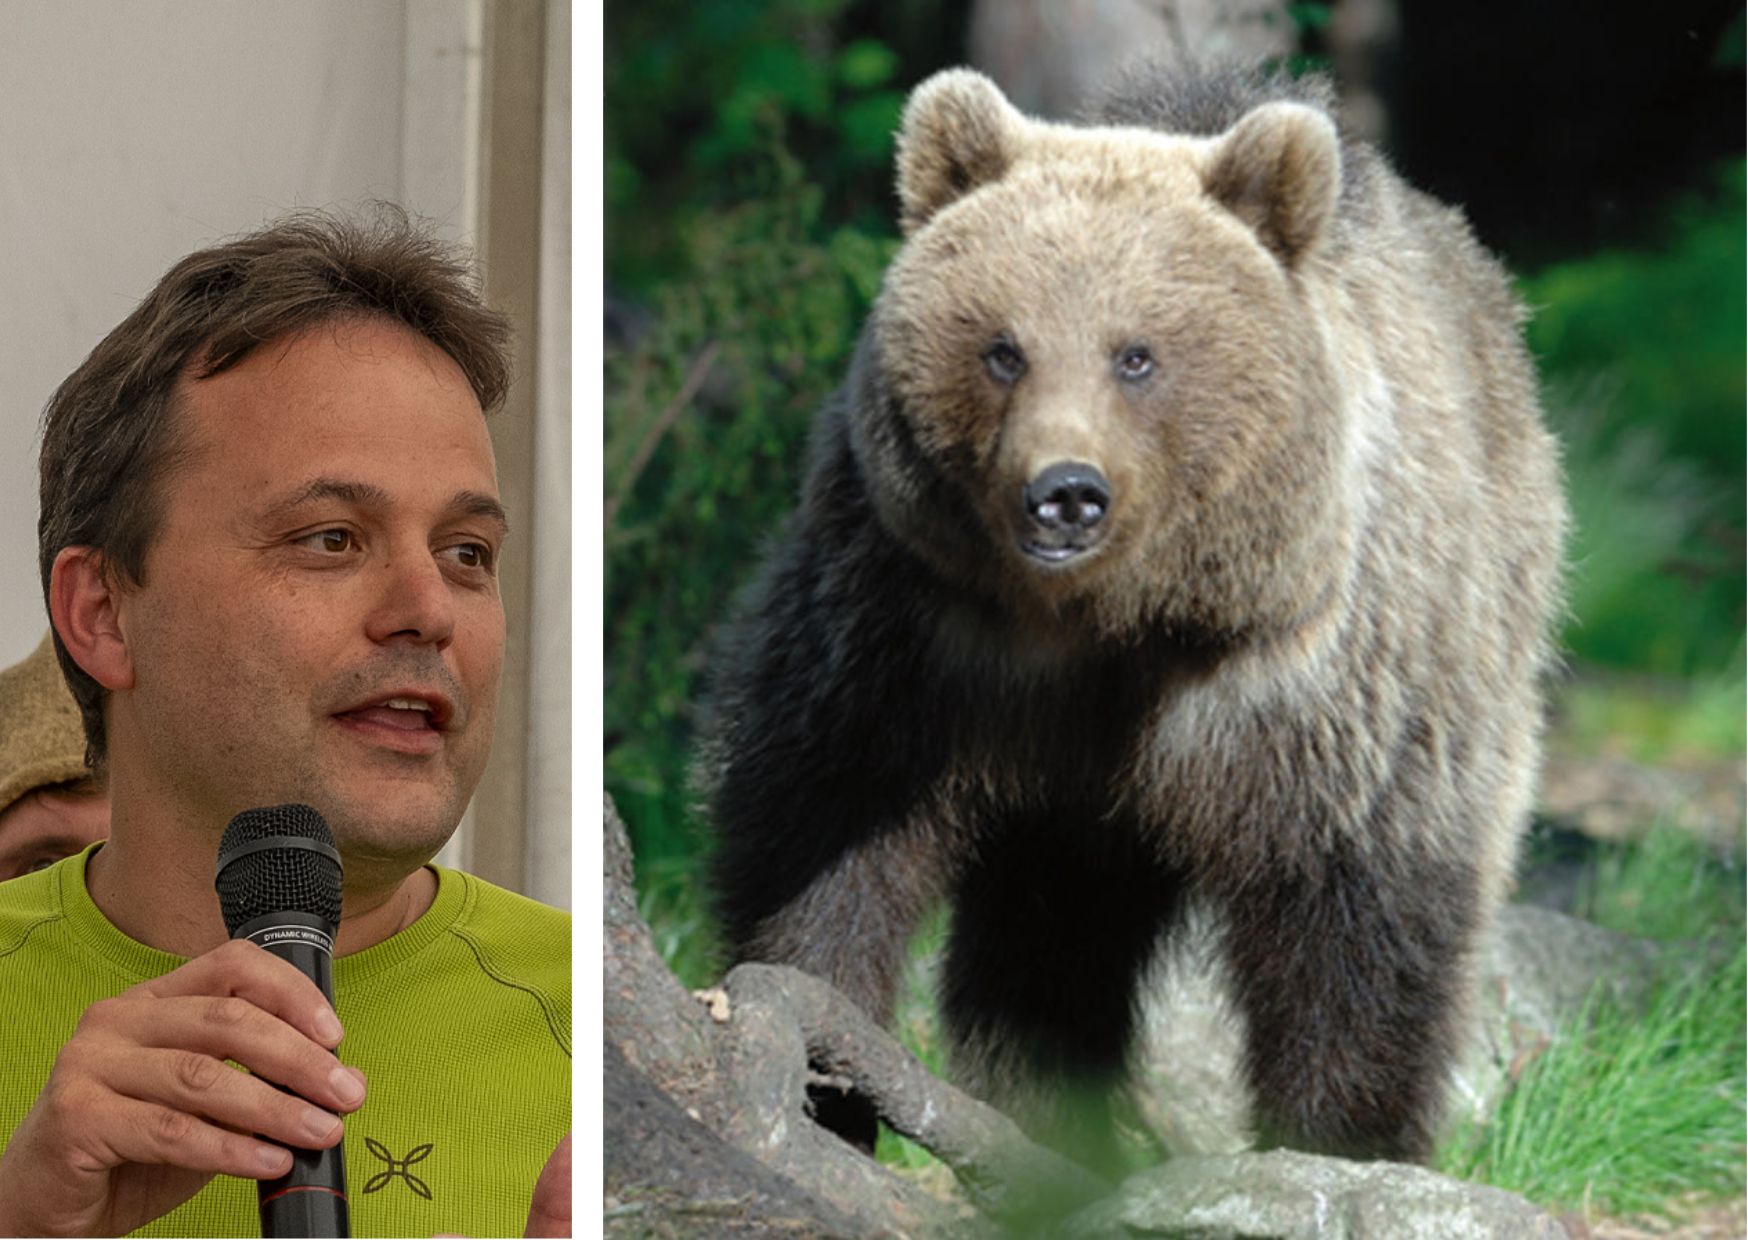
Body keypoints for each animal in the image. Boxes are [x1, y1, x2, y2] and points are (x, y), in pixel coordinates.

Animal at [696, 60, 1566, 1167]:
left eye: (1137, 355)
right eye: (1003, 349)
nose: (1064, 493)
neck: (1114, 623)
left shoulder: (1320, 678)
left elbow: (1359, 905)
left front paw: (1342, 1139)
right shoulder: (908, 621)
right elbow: (825, 823)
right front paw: (826, 1068)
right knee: (1053, 936)